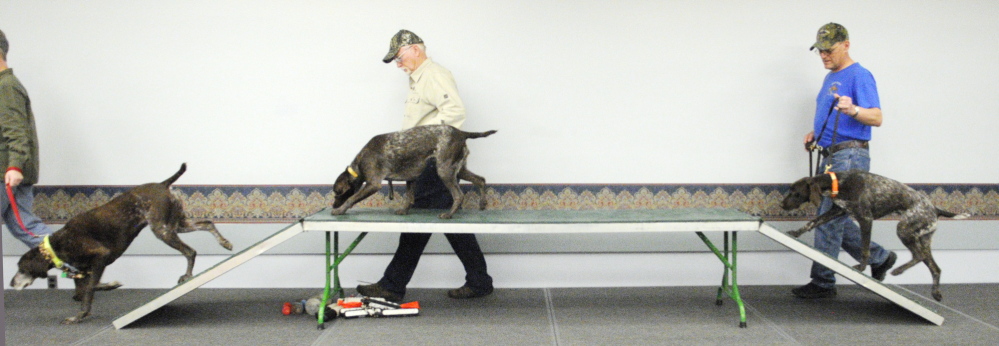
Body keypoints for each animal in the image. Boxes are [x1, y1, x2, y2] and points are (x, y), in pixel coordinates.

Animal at [9, 164, 232, 324]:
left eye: (21, 268)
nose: (11, 283)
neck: (58, 245)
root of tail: (162, 184)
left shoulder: (100, 256)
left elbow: (89, 291)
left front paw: (84, 311)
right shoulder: (84, 271)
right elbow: (83, 293)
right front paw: (99, 295)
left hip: (163, 230)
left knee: (190, 251)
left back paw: (187, 275)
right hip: (177, 224)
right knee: (207, 223)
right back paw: (225, 243)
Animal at [332, 124, 496, 219]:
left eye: (338, 193)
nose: (333, 205)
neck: (360, 162)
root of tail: (462, 133)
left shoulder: (373, 184)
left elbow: (351, 198)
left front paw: (340, 210)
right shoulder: (410, 178)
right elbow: (409, 198)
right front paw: (404, 211)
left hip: (445, 170)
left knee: (459, 195)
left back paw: (449, 214)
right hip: (459, 169)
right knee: (481, 180)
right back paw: (482, 203)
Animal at [780, 170, 968, 300]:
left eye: (795, 192)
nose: (782, 205)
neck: (840, 183)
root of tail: (935, 208)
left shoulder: (866, 219)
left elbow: (865, 249)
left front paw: (862, 268)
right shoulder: (836, 211)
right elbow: (813, 222)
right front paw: (796, 232)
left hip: (904, 229)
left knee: (919, 256)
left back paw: (898, 270)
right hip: (923, 238)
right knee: (935, 268)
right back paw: (935, 293)